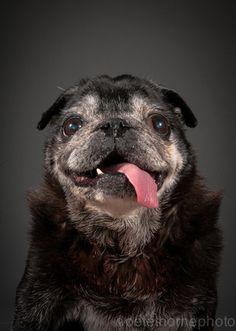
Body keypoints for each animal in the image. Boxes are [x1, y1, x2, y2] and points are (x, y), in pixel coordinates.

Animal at [12, 75, 222, 331]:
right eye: (71, 125)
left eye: (160, 124)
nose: (114, 124)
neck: (121, 237)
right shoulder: (37, 301)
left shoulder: (193, 308)